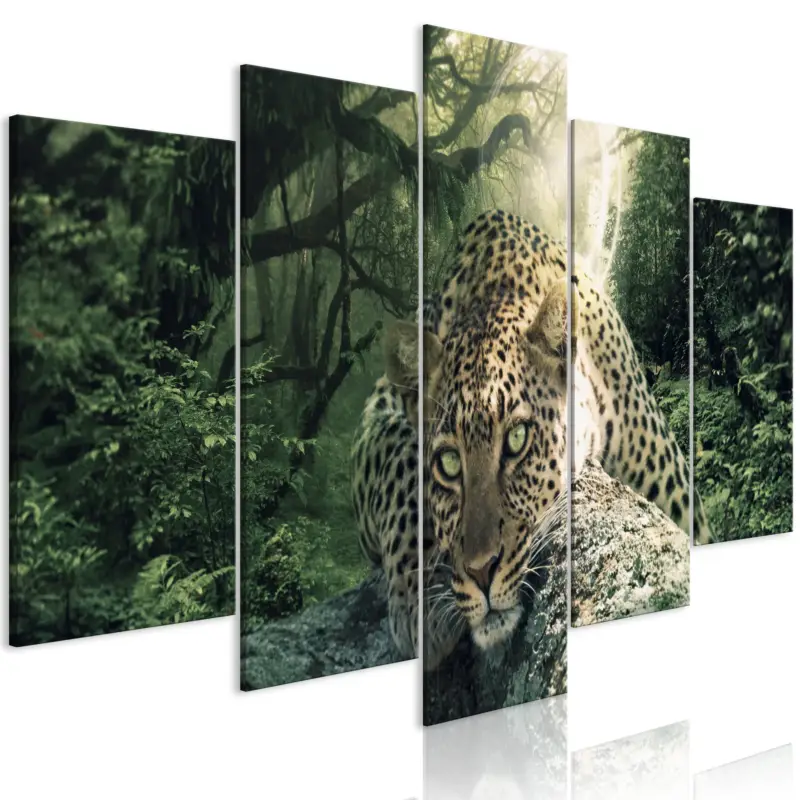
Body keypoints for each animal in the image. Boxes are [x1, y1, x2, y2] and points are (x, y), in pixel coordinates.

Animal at [353, 209, 710, 669]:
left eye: (518, 439)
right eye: (448, 462)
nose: (481, 570)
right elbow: (398, 458)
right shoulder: (376, 414)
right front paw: (421, 600)